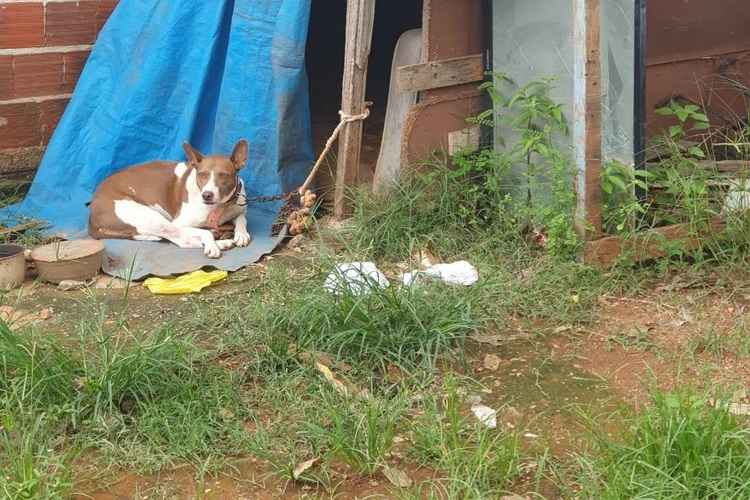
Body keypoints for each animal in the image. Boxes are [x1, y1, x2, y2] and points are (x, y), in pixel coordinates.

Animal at [88, 140, 253, 258]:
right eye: (201, 174)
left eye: (223, 175)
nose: (207, 195)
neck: (219, 206)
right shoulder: (179, 223)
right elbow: (204, 233)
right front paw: (212, 245)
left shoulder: (238, 208)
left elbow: (241, 218)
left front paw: (241, 234)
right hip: (153, 218)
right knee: (181, 240)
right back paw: (221, 243)